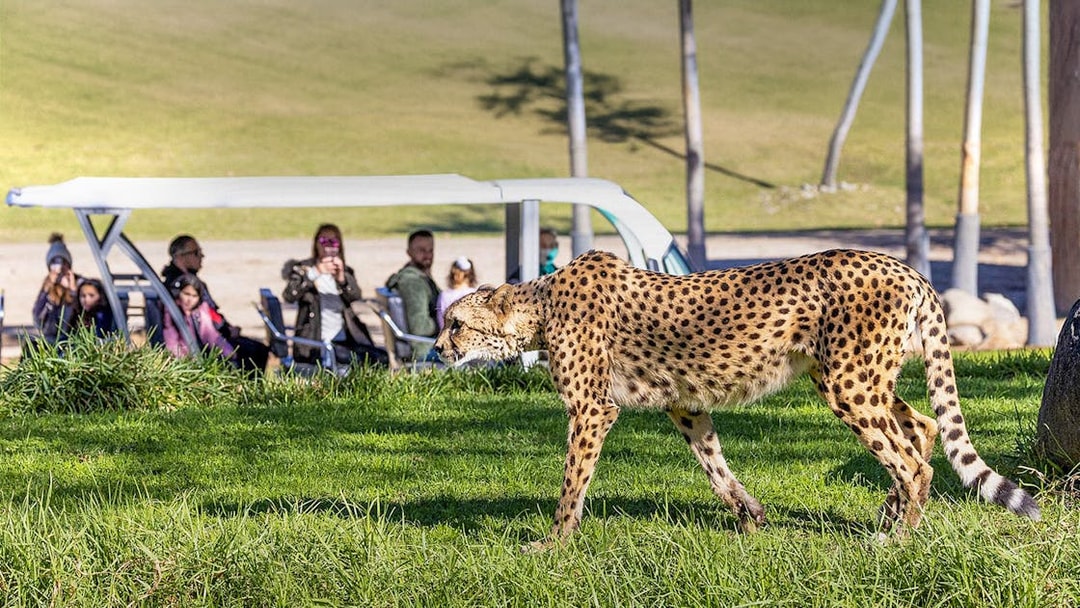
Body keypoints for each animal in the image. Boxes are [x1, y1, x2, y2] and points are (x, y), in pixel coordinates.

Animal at [435, 249, 1040, 549]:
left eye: (456, 323)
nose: (438, 347)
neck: (539, 306)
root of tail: (903, 265)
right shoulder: (686, 404)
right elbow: (715, 465)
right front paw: (750, 518)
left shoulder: (592, 409)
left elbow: (571, 483)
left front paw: (554, 544)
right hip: (857, 377)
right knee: (922, 428)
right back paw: (890, 514)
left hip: (847, 382)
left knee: (913, 460)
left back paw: (897, 538)